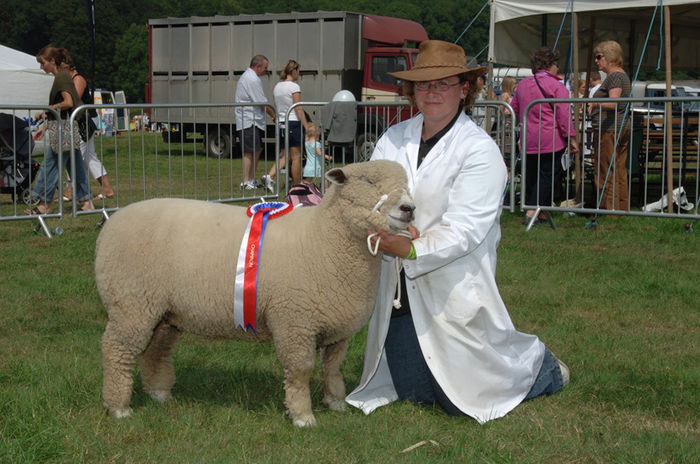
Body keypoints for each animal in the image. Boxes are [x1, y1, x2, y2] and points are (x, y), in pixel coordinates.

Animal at [98, 160, 416, 428]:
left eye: (406, 183)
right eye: (367, 180)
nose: (409, 208)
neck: (324, 238)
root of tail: (111, 223)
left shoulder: (337, 328)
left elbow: (333, 367)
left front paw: (336, 401)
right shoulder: (295, 322)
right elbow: (300, 371)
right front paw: (302, 416)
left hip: (164, 312)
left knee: (157, 350)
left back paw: (159, 394)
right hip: (131, 303)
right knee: (116, 350)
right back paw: (119, 407)